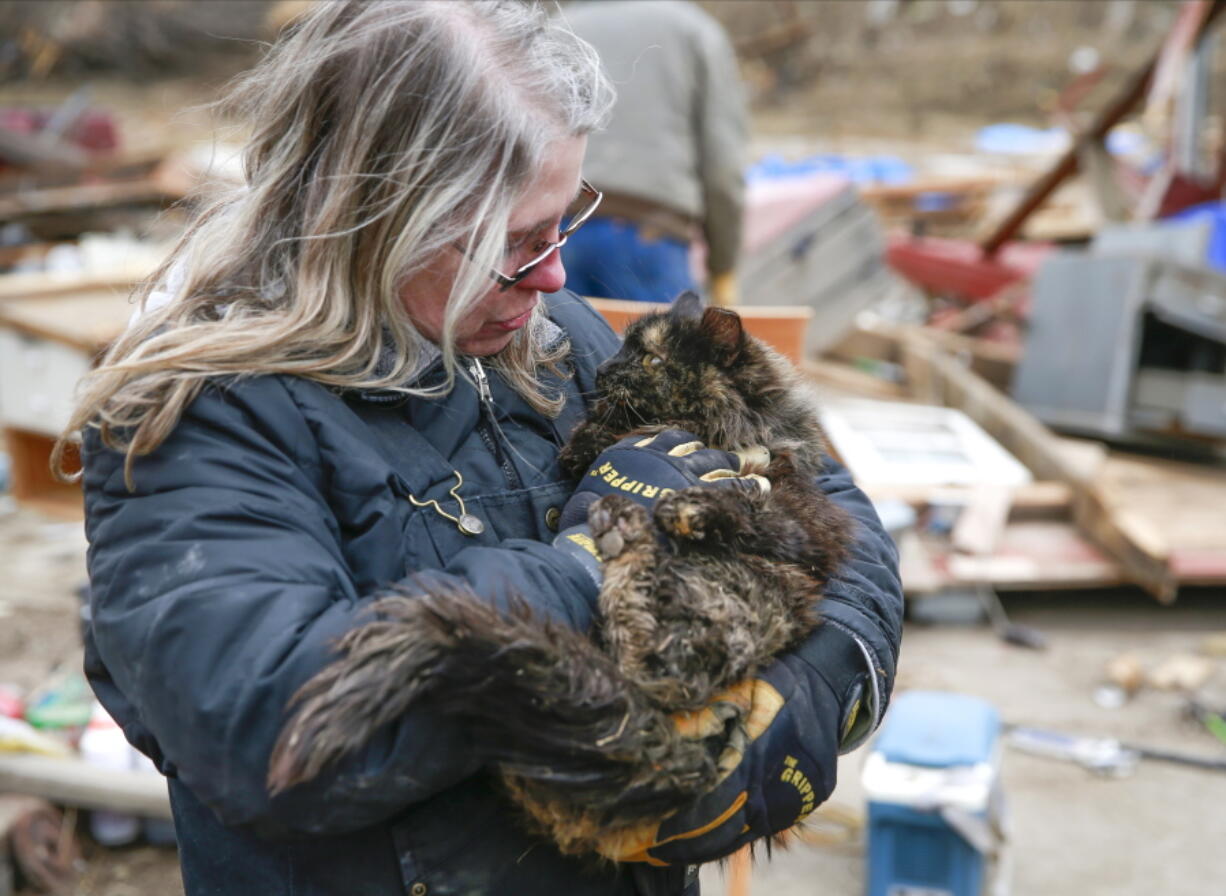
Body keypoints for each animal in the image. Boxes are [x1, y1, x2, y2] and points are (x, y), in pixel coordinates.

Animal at [266, 290, 853, 858]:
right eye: (623, 348)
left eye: (653, 360)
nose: (604, 370)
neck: (711, 428)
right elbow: (606, 443)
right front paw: (610, 456)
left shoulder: (807, 525)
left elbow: (750, 505)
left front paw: (688, 500)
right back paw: (623, 525)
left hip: (745, 603)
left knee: (655, 662)